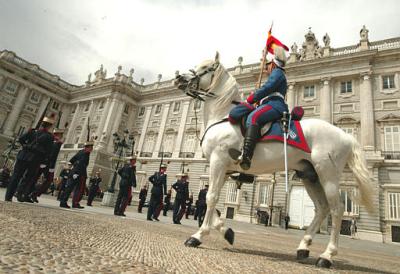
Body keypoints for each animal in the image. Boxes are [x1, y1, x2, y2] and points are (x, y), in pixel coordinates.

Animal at [175, 53, 376, 268]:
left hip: (328, 175)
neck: (223, 117)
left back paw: (326, 256)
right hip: (310, 176)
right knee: (322, 208)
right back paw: (303, 246)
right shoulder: (224, 169)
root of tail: (346, 136)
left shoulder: (218, 162)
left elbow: (211, 198)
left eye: (206, 68)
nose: (179, 79)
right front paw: (227, 231)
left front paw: (198, 236)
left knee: (337, 210)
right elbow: (209, 199)